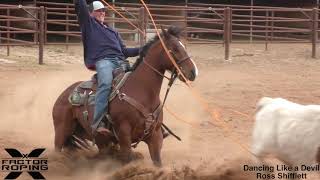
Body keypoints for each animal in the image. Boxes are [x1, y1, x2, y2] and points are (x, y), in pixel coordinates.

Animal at [52, 26, 198, 166]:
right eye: (174, 49)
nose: (193, 71)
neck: (143, 92)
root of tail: (64, 94)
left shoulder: (155, 136)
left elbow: (157, 162)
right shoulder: (124, 134)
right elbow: (127, 158)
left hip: (96, 138)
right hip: (61, 131)